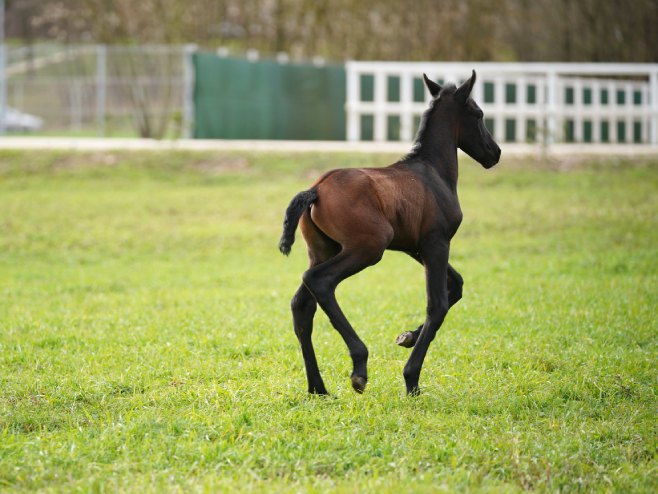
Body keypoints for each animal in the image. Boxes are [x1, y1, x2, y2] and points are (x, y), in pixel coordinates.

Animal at [276, 69, 498, 396]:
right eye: (479, 113)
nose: (495, 153)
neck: (432, 171)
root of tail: (315, 190)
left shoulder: (414, 247)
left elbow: (455, 284)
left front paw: (407, 337)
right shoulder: (436, 243)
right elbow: (438, 305)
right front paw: (412, 379)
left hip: (322, 250)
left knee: (302, 306)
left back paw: (318, 388)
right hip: (367, 248)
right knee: (319, 281)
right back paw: (359, 366)